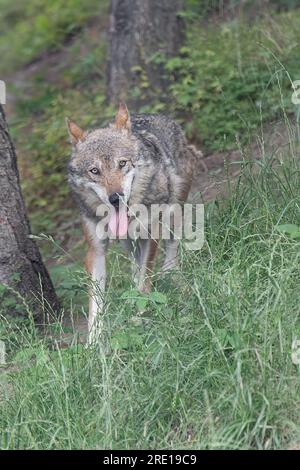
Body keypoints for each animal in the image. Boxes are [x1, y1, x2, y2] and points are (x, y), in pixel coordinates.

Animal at [66, 103, 202, 346]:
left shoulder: (151, 233)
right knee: (134, 265)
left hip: (174, 210)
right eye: (94, 171)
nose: (115, 198)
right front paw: (93, 344)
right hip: (127, 242)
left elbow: (144, 280)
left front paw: (139, 317)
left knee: (170, 253)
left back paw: (174, 279)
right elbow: (96, 304)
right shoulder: (95, 250)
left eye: (122, 163)